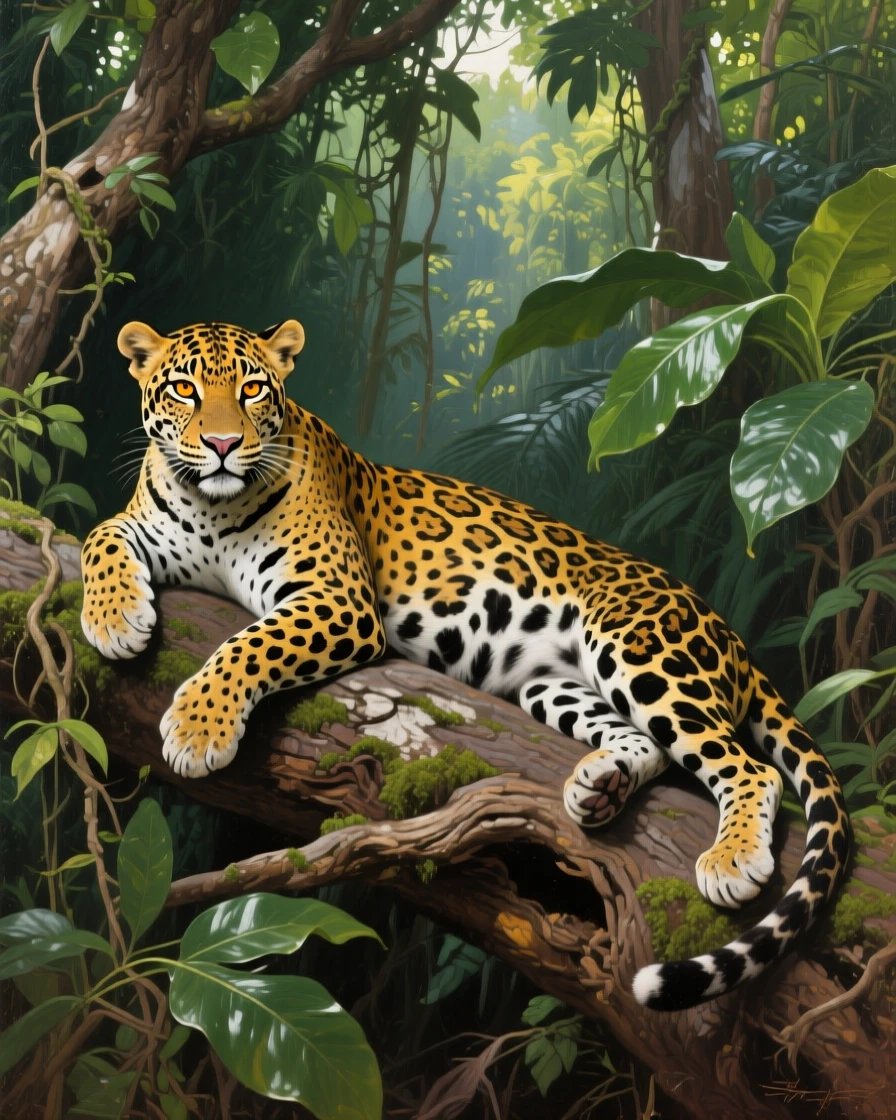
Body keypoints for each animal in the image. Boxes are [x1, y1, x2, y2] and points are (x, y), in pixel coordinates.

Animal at [80, 318, 849, 1011]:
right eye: (183, 388)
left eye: (251, 389)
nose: (221, 445)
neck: (211, 508)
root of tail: (729, 630)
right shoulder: (153, 530)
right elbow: (101, 533)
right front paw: (114, 618)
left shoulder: (338, 598)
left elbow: (248, 644)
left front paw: (198, 728)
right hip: (554, 684)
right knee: (646, 743)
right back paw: (598, 787)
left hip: (641, 650)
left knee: (743, 765)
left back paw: (732, 858)